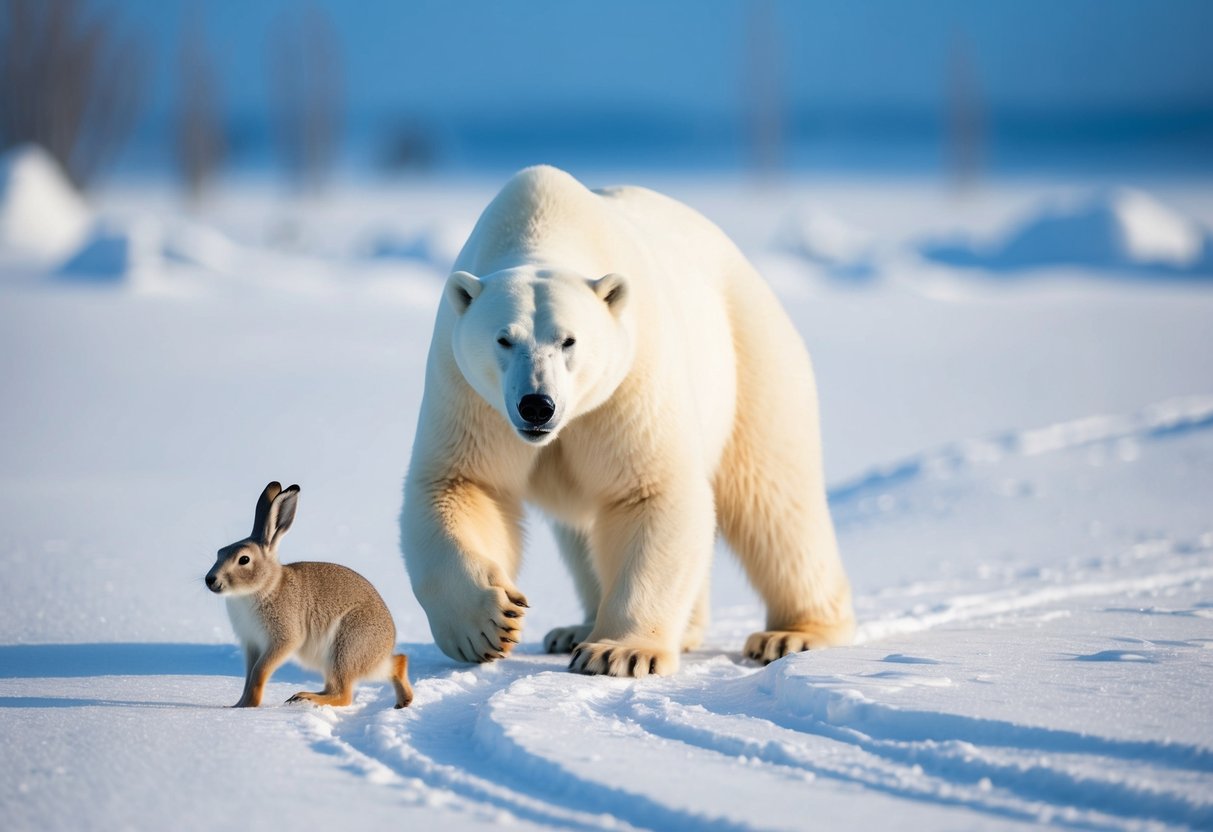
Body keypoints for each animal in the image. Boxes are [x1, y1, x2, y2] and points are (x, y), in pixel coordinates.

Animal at [205, 481, 413, 709]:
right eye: (220, 552)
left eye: (244, 559)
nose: (210, 580)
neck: (265, 586)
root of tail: (385, 647)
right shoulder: (252, 644)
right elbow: (249, 675)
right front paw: (237, 706)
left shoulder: (283, 639)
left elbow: (259, 672)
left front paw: (250, 706)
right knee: (396, 663)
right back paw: (403, 700)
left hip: (345, 649)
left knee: (343, 695)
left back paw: (304, 697)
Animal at [401, 165, 854, 676]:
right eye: (503, 339)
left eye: (569, 340)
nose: (537, 405)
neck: (543, 225)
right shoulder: (470, 394)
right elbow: (461, 483)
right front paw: (488, 624)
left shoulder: (630, 381)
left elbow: (651, 491)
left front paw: (619, 652)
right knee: (583, 532)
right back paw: (576, 629)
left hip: (752, 355)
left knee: (775, 501)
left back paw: (792, 635)